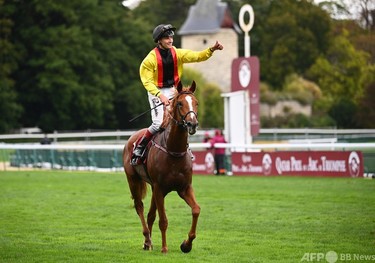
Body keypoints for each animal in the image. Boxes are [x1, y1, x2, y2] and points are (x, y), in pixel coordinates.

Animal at [122, 81, 200, 255]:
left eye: (196, 103)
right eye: (180, 103)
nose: (192, 124)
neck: (174, 150)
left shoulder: (184, 188)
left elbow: (196, 210)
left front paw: (186, 244)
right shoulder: (160, 188)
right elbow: (163, 220)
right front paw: (164, 248)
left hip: (152, 187)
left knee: (150, 214)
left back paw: (148, 243)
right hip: (133, 180)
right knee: (139, 207)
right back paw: (147, 239)